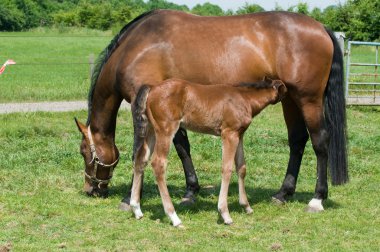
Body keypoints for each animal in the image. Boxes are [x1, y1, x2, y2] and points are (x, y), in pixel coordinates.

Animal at [129, 77, 286, 226]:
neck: (245, 98)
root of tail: (152, 88)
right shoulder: (229, 133)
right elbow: (227, 169)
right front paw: (225, 214)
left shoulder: (239, 135)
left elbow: (241, 167)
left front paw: (246, 207)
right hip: (166, 129)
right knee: (158, 163)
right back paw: (174, 217)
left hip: (151, 129)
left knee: (140, 159)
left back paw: (136, 209)